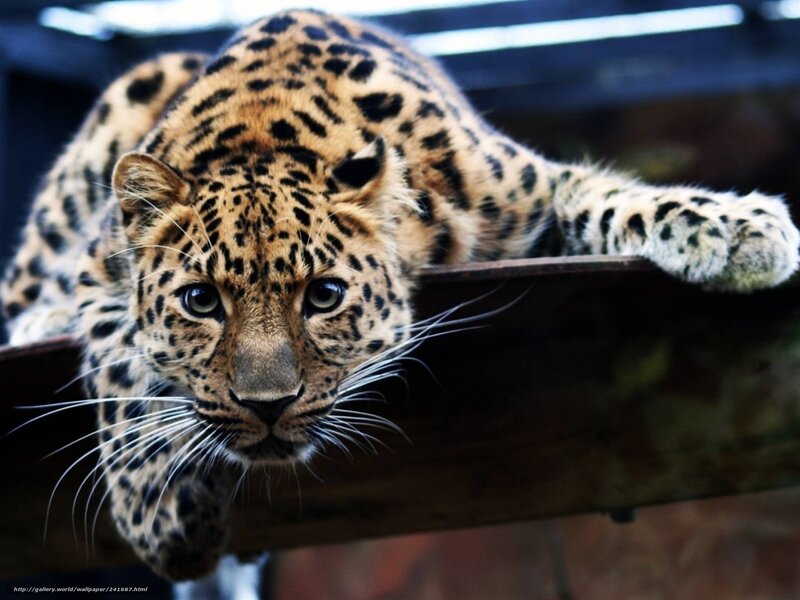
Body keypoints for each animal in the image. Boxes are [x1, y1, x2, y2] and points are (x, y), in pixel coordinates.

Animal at [1, 9, 798, 581]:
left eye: (324, 296)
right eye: (201, 302)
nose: (267, 407)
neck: (262, 135)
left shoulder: (530, 192)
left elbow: (610, 197)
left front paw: (740, 229)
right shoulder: (100, 273)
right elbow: (121, 382)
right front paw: (164, 517)